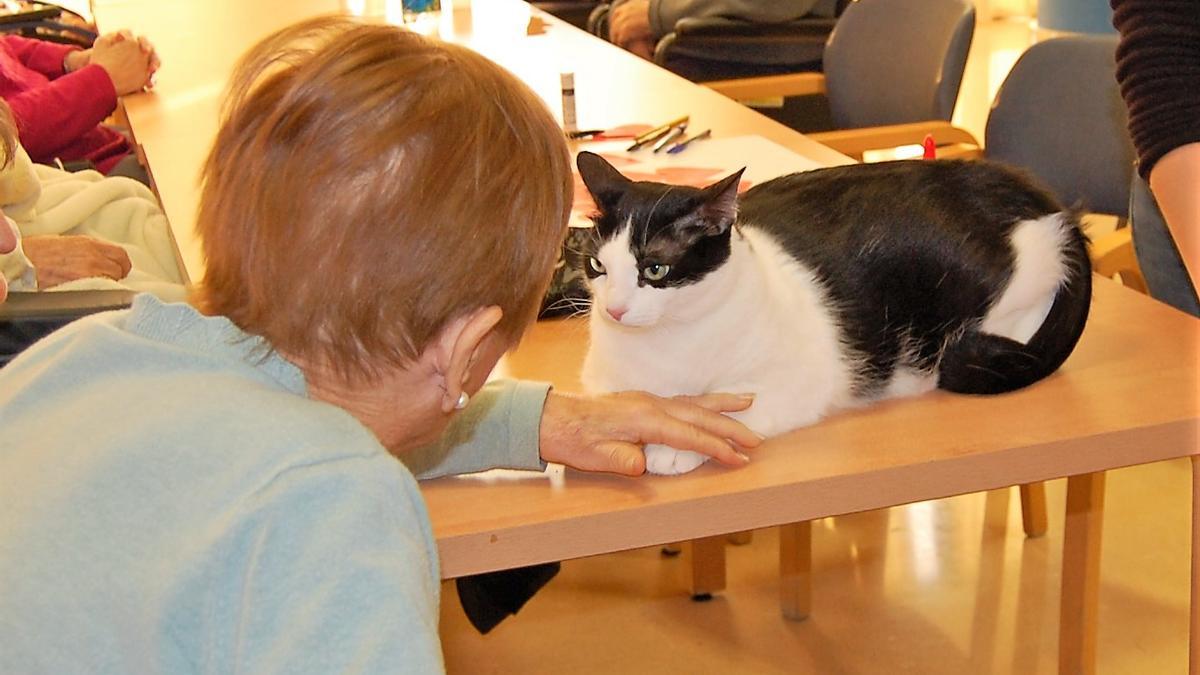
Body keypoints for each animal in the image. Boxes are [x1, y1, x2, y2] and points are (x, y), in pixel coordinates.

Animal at [576, 152, 1094, 475]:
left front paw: (675, 447)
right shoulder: (601, 382)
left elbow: (735, 412)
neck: (669, 343)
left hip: (1011, 287)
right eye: (598, 266)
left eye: (655, 269)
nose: (615, 309)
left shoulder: (795, 381)